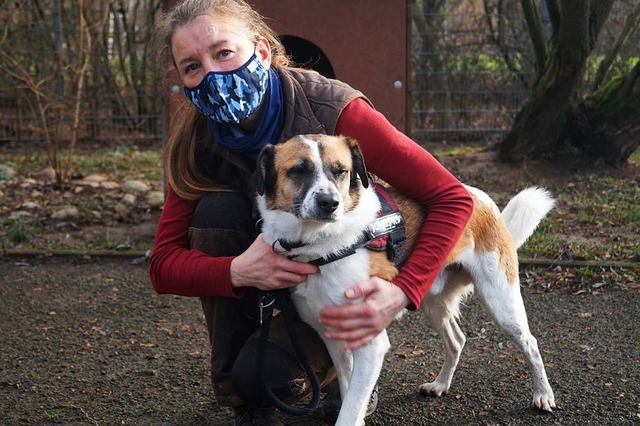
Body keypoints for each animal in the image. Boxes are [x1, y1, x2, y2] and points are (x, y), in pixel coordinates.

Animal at [255, 135, 556, 424]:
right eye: (298, 170)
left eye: (341, 171)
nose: (330, 204)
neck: (321, 246)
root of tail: (482, 199)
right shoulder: (335, 340)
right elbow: (349, 393)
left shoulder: (371, 342)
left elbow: (351, 409)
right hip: (431, 303)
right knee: (457, 340)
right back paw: (440, 385)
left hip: (501, 301)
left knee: (531, 342)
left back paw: (543, 395)